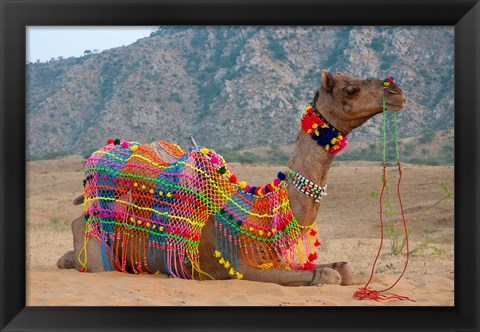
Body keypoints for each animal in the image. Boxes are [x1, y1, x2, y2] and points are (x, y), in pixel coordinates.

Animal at [58, 71, 406, 286]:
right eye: (351, 89)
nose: (396, 91)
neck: (263, 209)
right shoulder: (244, 267)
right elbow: (328, 277)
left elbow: (344, 269)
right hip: (97, 246)